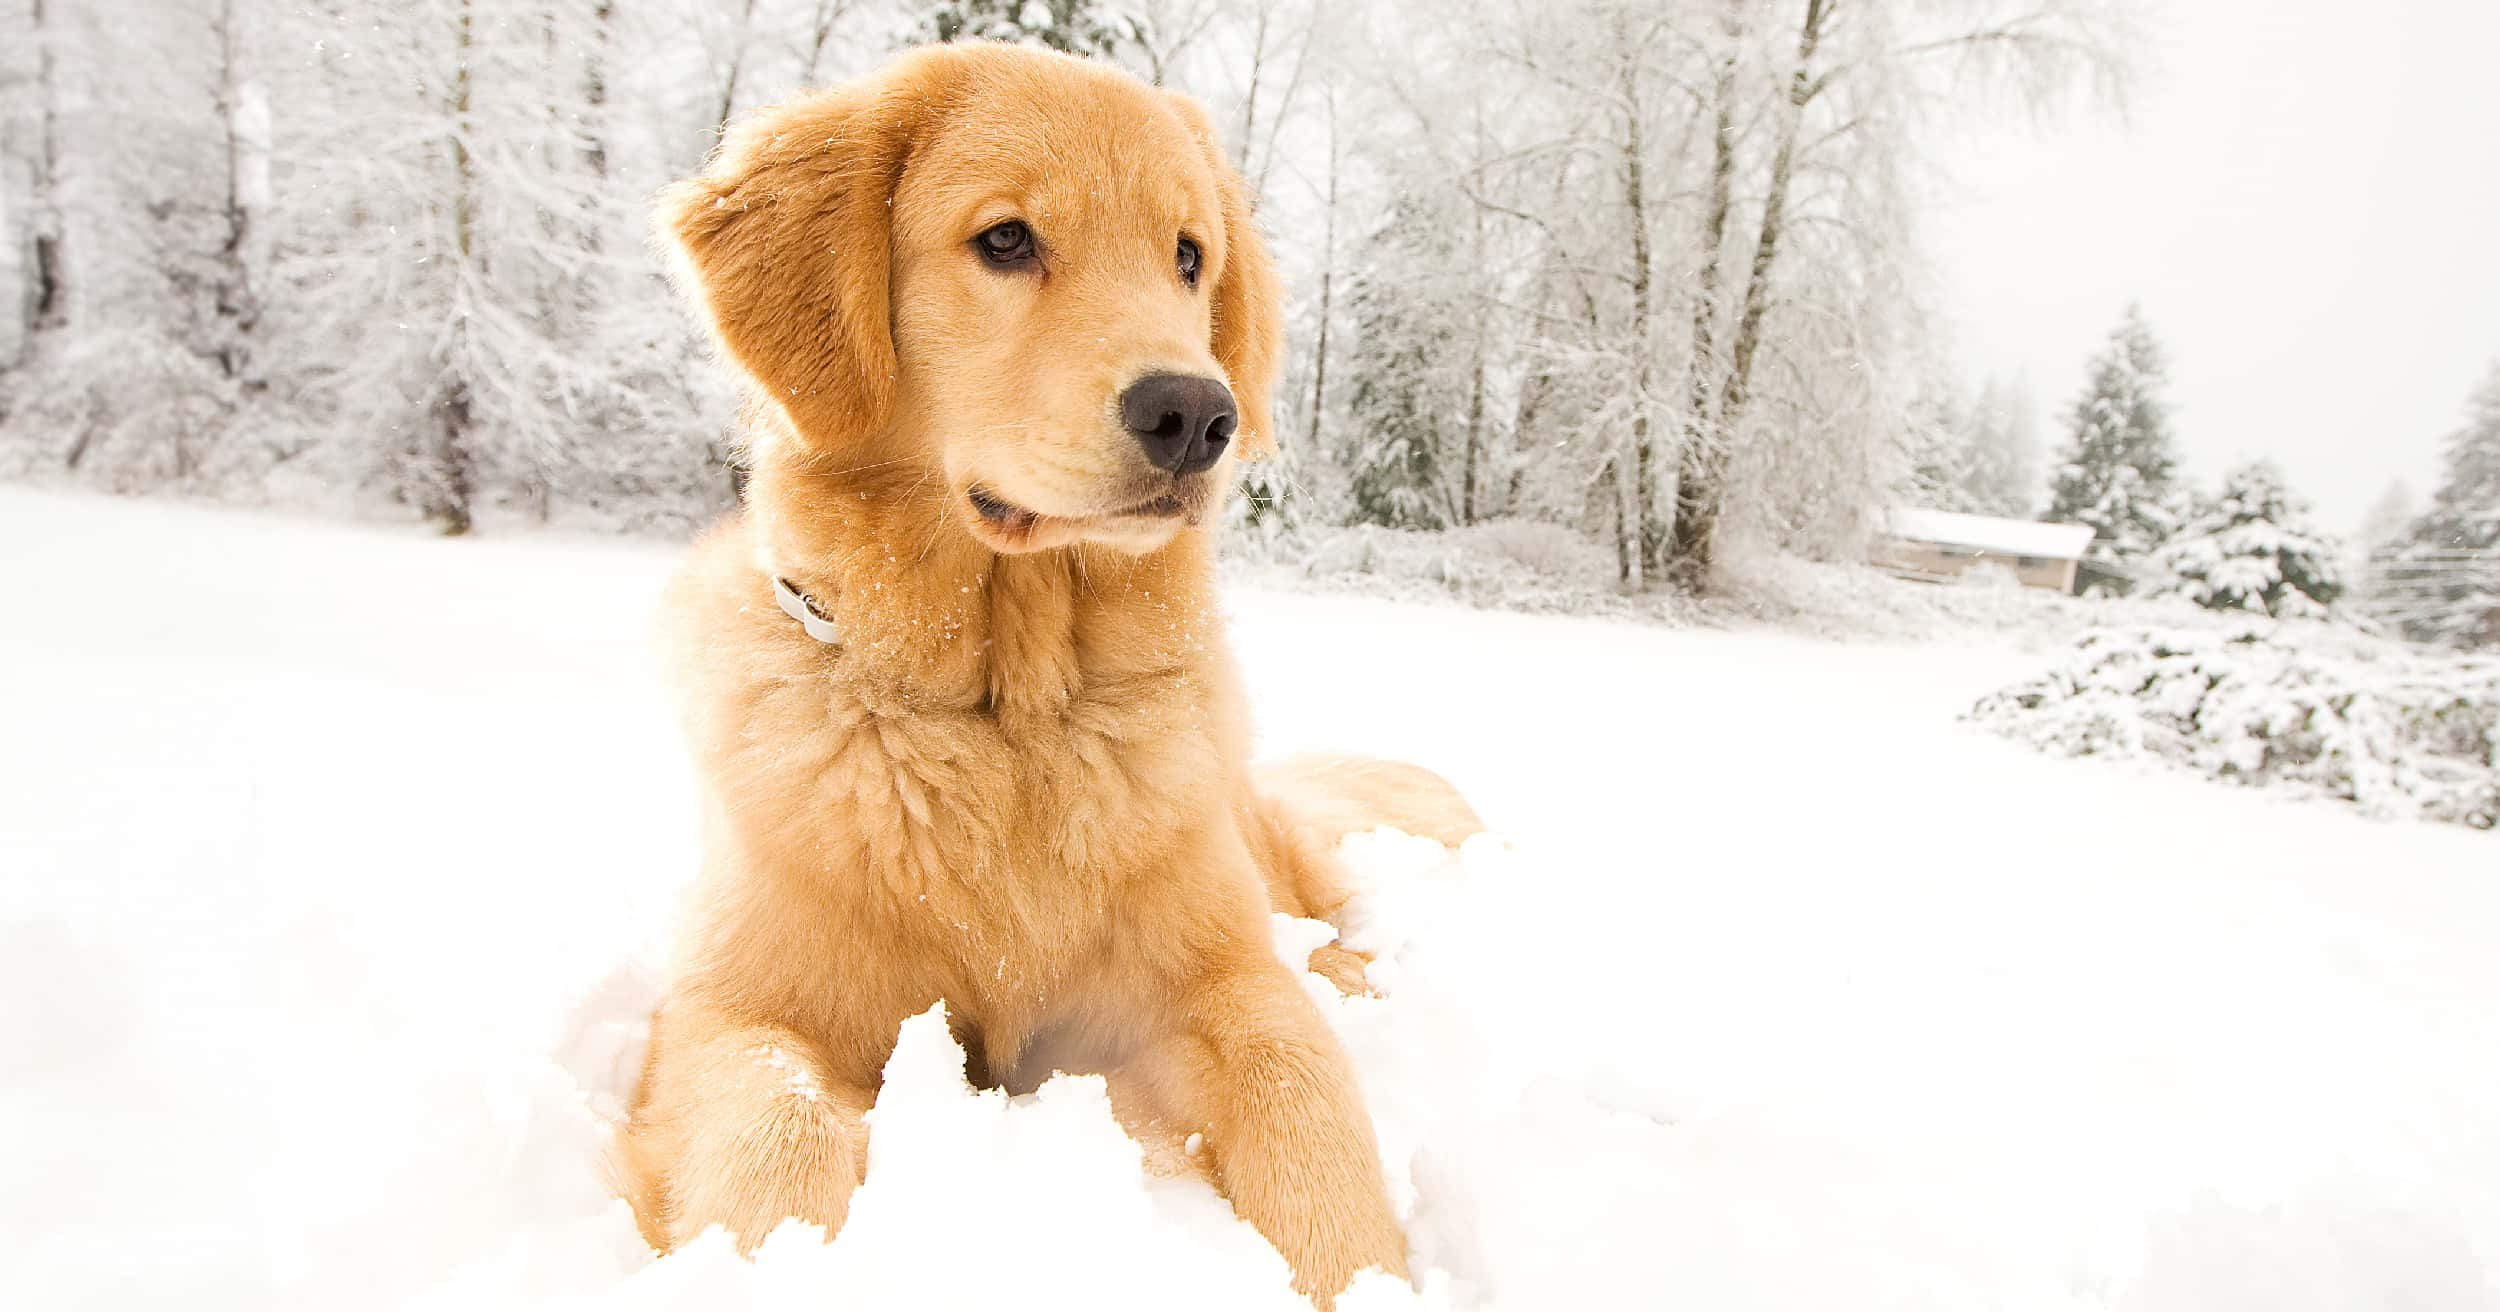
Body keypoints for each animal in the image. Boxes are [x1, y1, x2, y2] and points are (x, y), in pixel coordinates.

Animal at [625, 40, 1480, 1299]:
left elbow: (1306, 1113)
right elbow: (774, 1141)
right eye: (1006, 240)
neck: (1011, 710)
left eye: (1188, 256)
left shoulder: (1220, 985)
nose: (1196, 414)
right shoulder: (730, 1014)